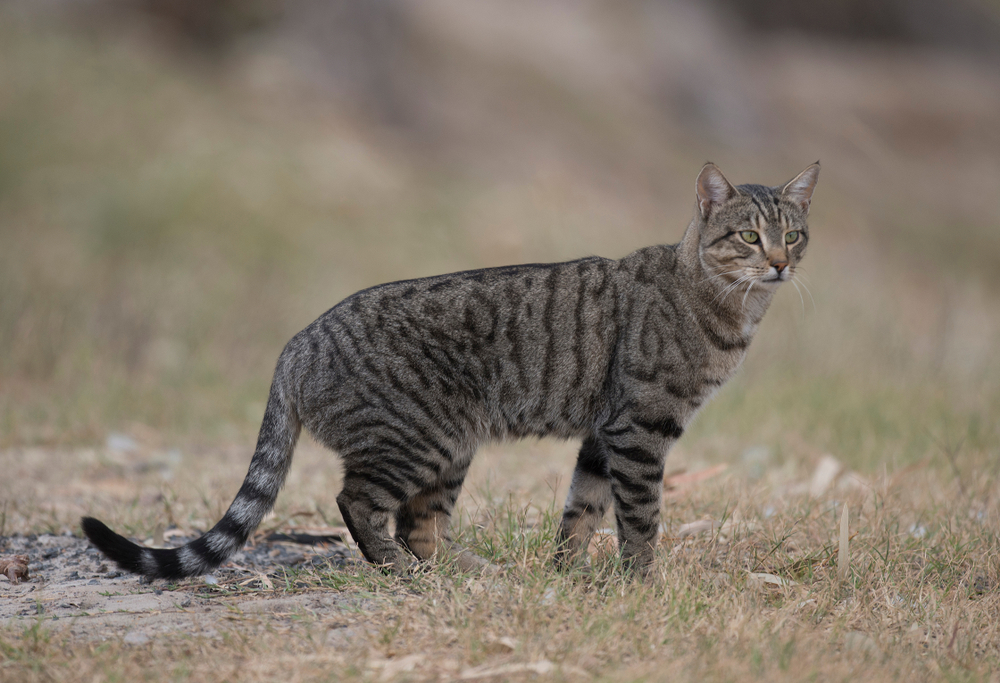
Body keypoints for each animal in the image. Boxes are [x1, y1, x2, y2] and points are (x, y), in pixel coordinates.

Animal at [84, 163, 820, 580]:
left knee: (420, 526)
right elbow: (640, 520)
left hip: (450, 450)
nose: (781, 262)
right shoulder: (639, 428)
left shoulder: (601, 434)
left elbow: (581, 512)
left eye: (795, 234)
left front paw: (569, 577)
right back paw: (397, 571)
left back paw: (473, 572)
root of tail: (295, 342)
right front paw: (643, 585)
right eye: (748, 236)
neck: (727, 307)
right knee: (360, 504)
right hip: (421, 438)